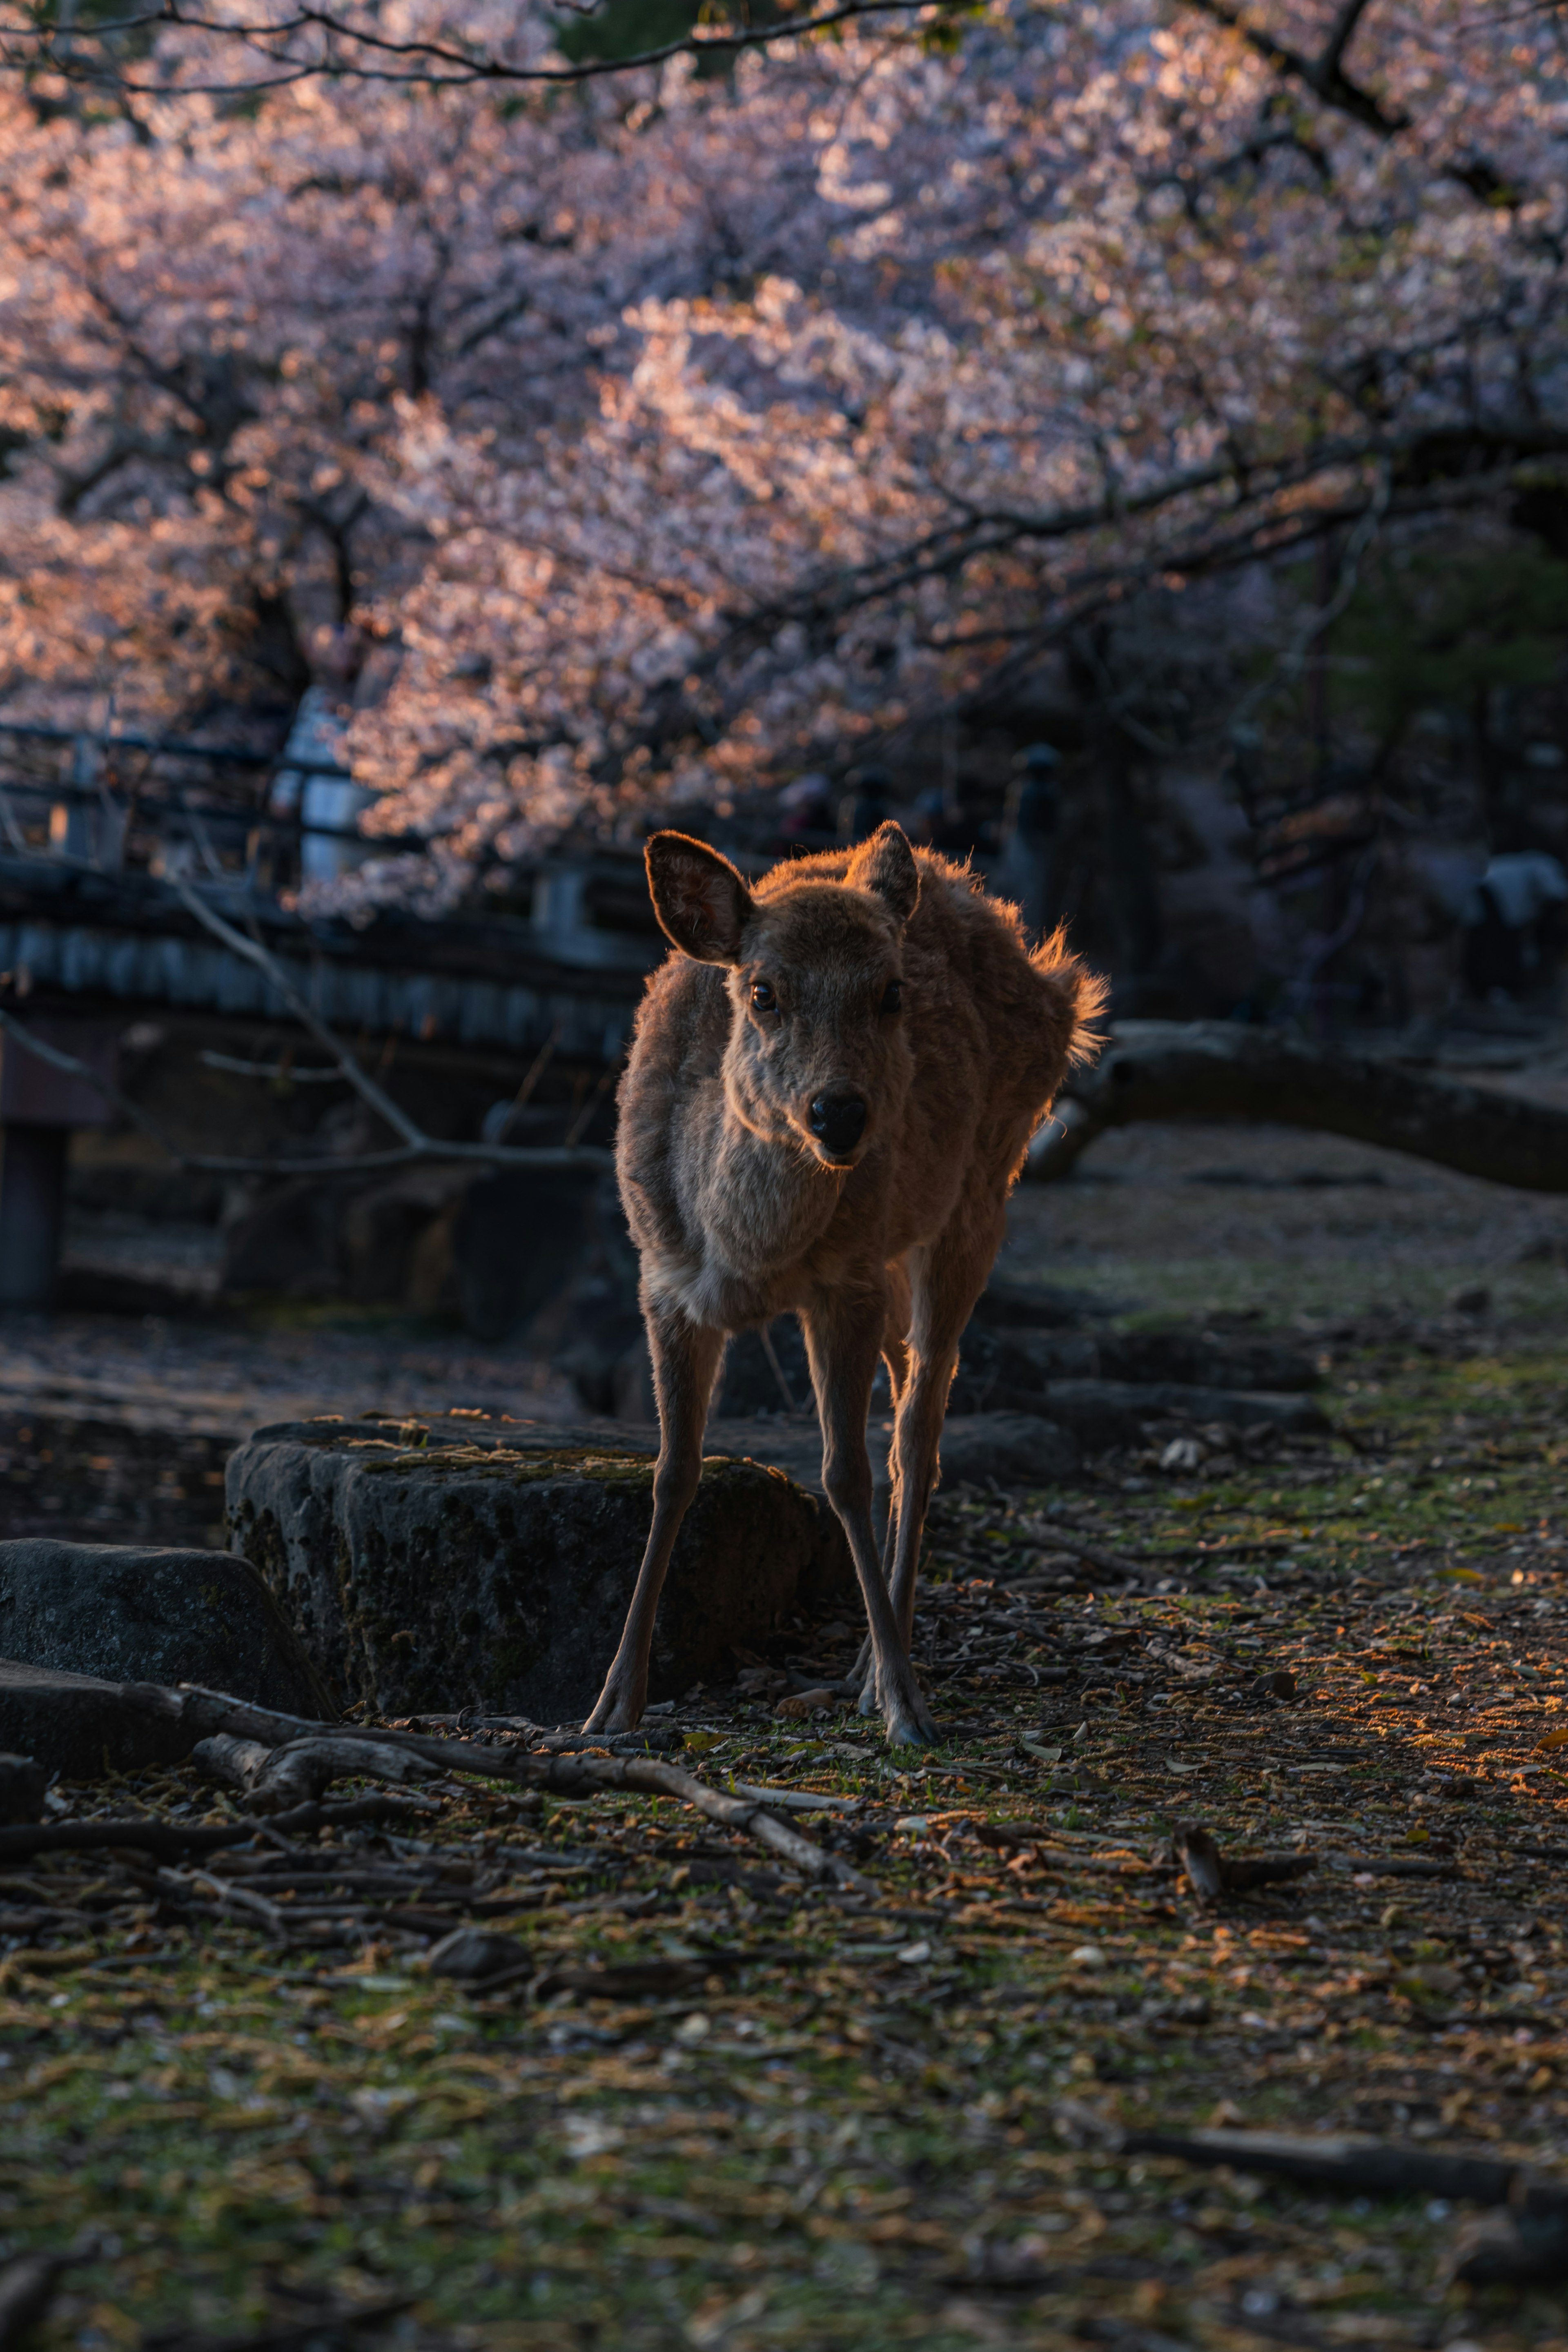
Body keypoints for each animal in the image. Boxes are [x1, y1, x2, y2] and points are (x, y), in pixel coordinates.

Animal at [583, 818, 1109, 1740]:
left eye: (892, 993)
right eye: (762, 992)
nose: (840, 1113)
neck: (746, 1256)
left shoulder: (846, 1283)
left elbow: (845, 1474)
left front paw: (906, 1707)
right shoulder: (664, 1284)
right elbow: (673, 1472)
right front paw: (613, 1701)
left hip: (979, 1198)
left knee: (919, 1430)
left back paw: (878, 1667)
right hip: (898, 1261)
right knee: (906, 1400)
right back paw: (869, 1653)